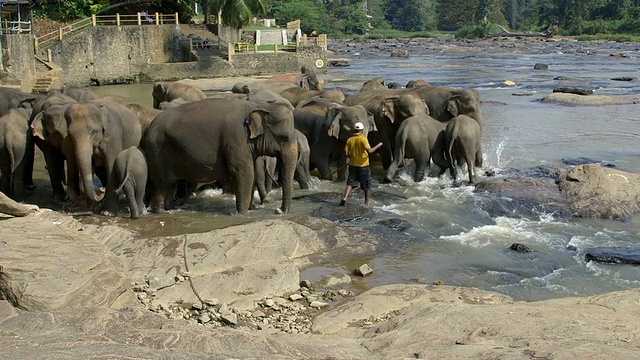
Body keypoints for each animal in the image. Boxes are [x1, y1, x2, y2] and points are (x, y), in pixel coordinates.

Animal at [142, 97, 298, 214]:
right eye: (284, 138)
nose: (278, 211)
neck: (259, 105)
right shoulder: (236, 139)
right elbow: (244, 172)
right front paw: (242, 213)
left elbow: (251, 172)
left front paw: (251, 208)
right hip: (157, 152)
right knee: (161, 184)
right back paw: (162, 212)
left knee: (169, 185)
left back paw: (170, 209)